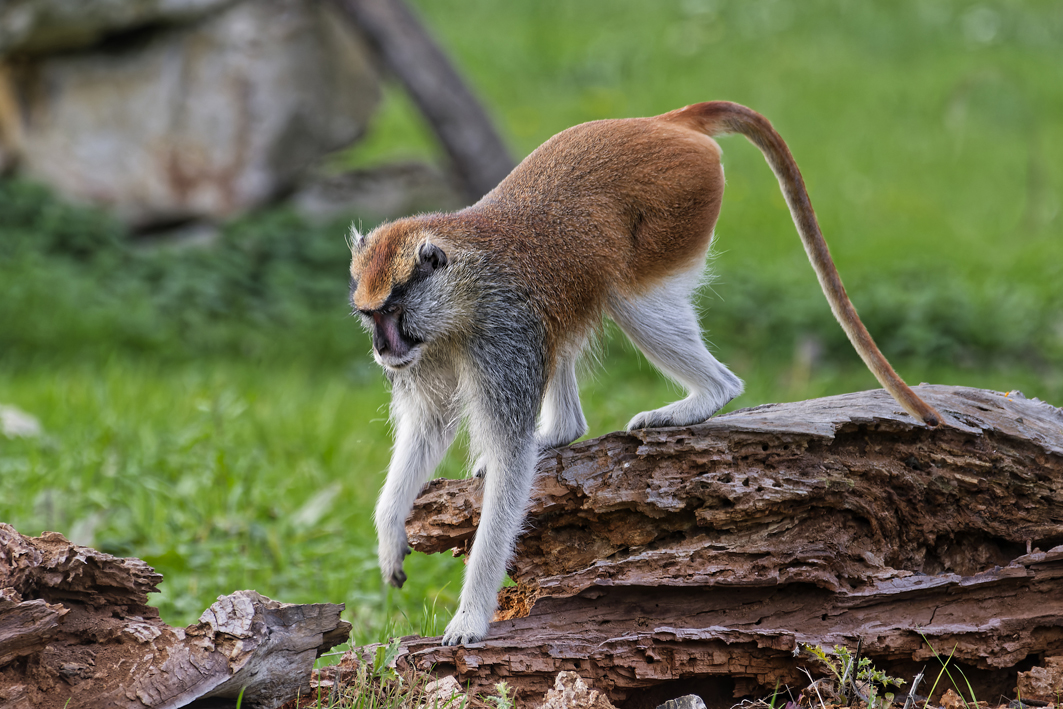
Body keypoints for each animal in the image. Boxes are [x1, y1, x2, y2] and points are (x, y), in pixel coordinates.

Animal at [348, 100, 942, 646]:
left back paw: (704, 397)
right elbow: (428, 426)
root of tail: (665, 121)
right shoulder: (434, 353)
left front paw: (470, 618)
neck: (463, 292)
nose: (381, 349)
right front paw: (391, 532)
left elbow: (510, 463)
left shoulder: (500, 338)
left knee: (632, 302)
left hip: (677, 213)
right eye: (370, 316)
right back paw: (561, 432)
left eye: (393, 312)